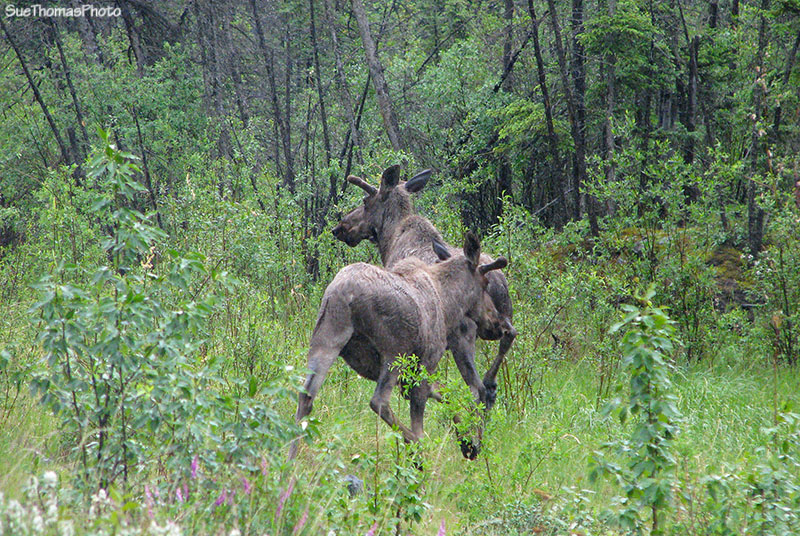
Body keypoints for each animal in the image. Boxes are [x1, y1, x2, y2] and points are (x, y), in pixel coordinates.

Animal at [289, 232, 508, 460]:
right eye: (485, 284)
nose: (498, 324)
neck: (448, 304)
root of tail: (342, 294)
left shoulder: (412, 375)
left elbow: (447, 395)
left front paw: (466, 441)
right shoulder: (426, 362)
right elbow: (433, 409)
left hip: (325, 341)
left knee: (306, 396)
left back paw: (290, 461)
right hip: (394, 353)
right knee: (379, 401)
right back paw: (416, 449)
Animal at [332, 165, 517, 425]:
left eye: (365, 201)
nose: (340, 228)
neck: (390, 240)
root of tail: (495, 281)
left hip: (463, 335)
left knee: (475, 387)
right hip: (504, 315)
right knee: (508, 338)